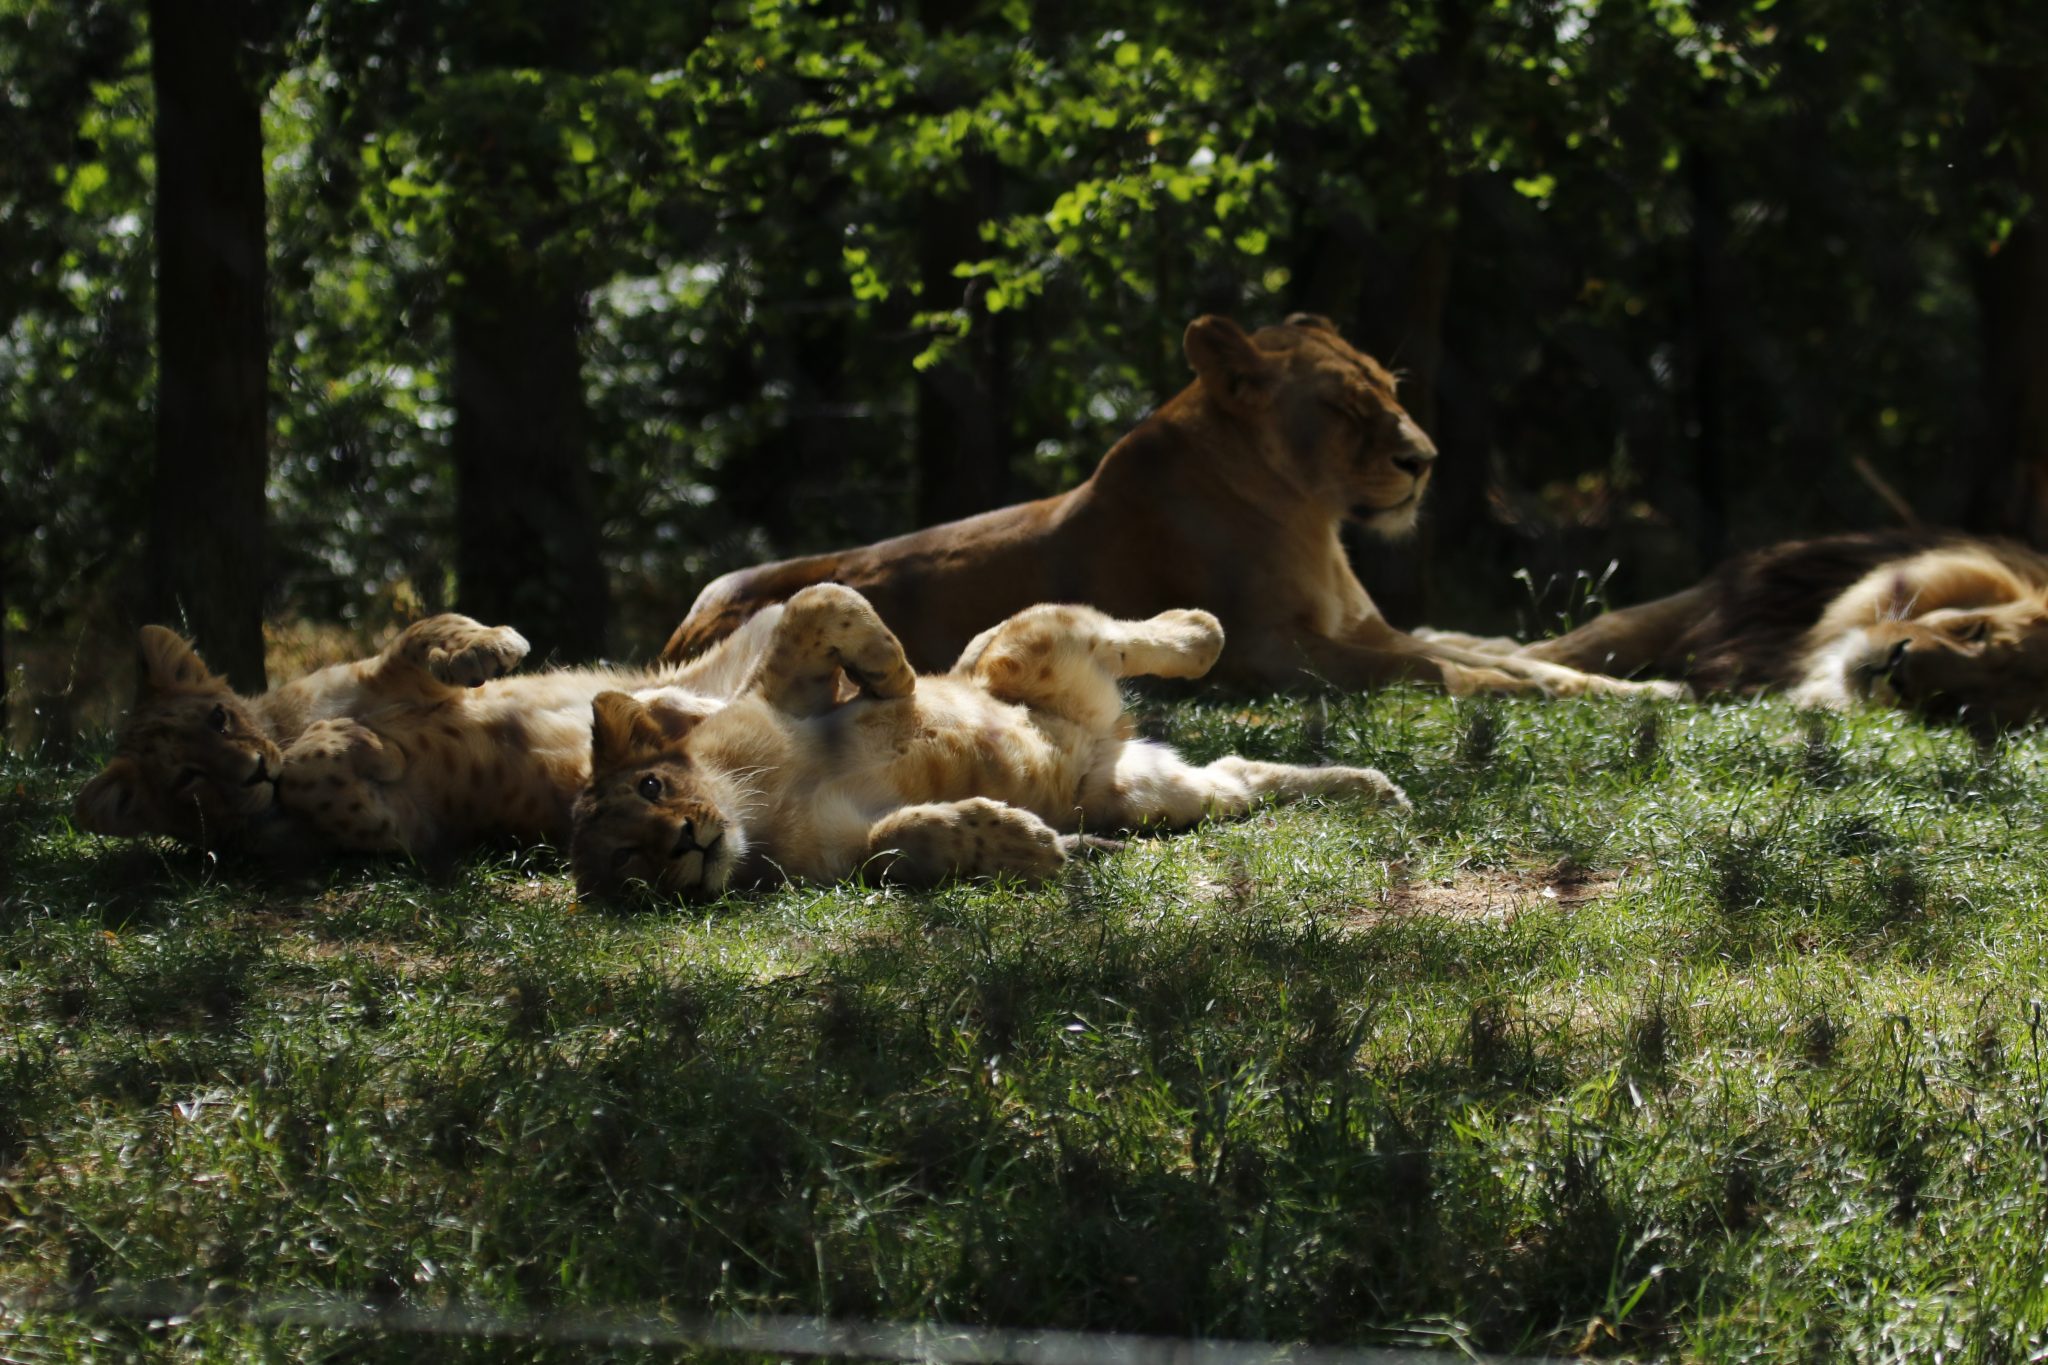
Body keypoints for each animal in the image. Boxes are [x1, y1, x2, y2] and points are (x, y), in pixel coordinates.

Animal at [577, 585, 1409, 896]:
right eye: (626, 861)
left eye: (651, 785)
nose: (683, 840)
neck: (757, 806)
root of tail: (1105, 740)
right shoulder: (845, 856)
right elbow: (906, 838)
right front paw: (1026, 842)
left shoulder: (783, 697)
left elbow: (818, 605)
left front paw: (892, 674)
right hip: (1144, 796)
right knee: (1237, 770)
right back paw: (1376, 788)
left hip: (1030, 657)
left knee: (1087, 634)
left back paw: (1198, 626)